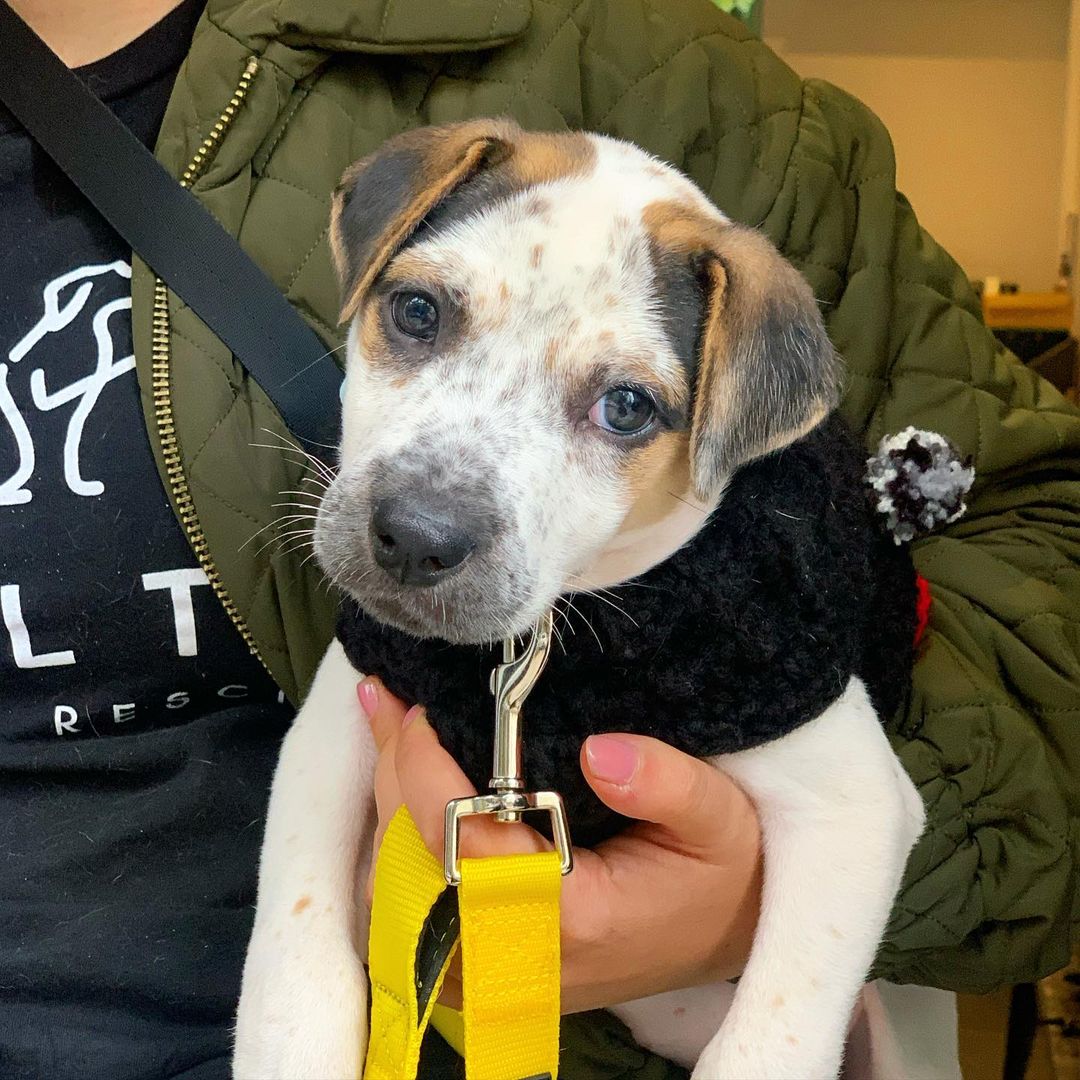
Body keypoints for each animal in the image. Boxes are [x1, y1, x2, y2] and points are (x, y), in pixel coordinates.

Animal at [236, 120, 928, 1080]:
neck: (529, 661)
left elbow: (767, 1039)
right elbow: (297, 951)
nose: (414, 537)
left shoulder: (854, 803)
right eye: (417, 312)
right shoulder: (340, 716)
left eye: (626, 407)